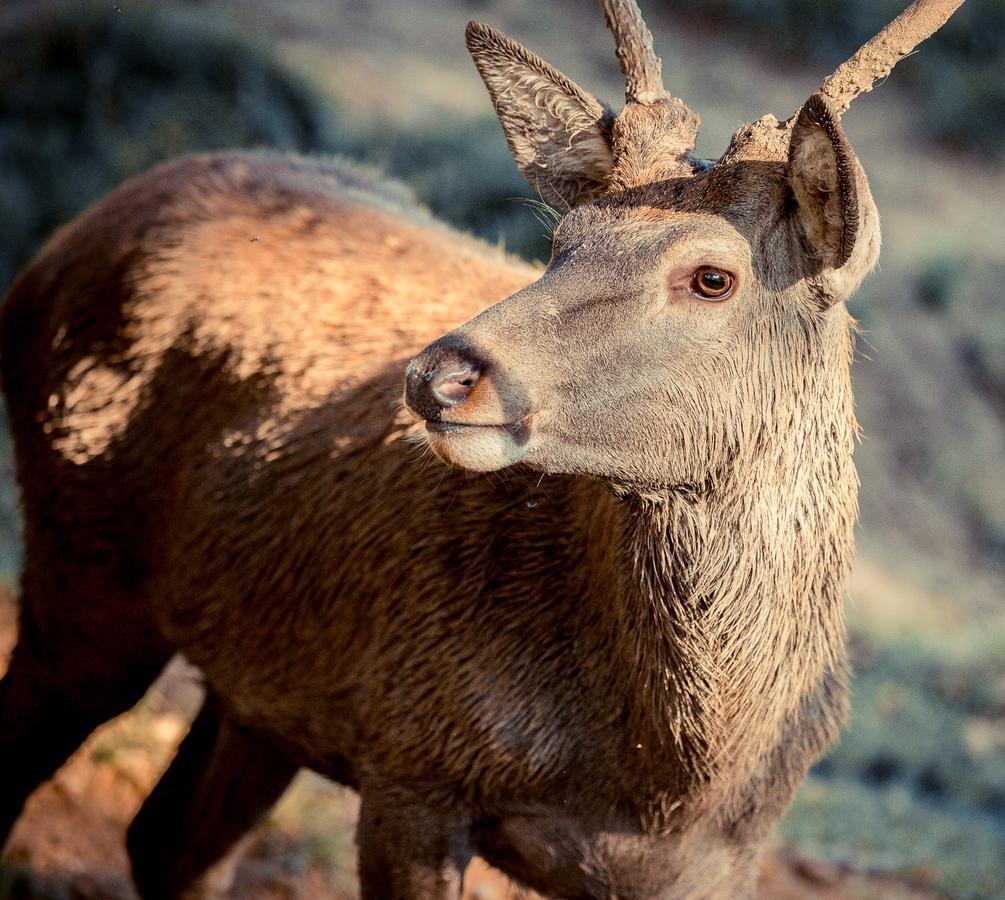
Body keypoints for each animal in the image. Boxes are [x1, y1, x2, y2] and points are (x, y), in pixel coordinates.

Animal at [0, 0, 964, 895]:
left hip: (261, 683)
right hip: (80, 559)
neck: (668, 783)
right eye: (561, 241)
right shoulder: (412, 760)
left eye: (712, 277)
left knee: (167, 842)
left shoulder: (716, 867)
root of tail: (59, 246)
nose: (440, 375)